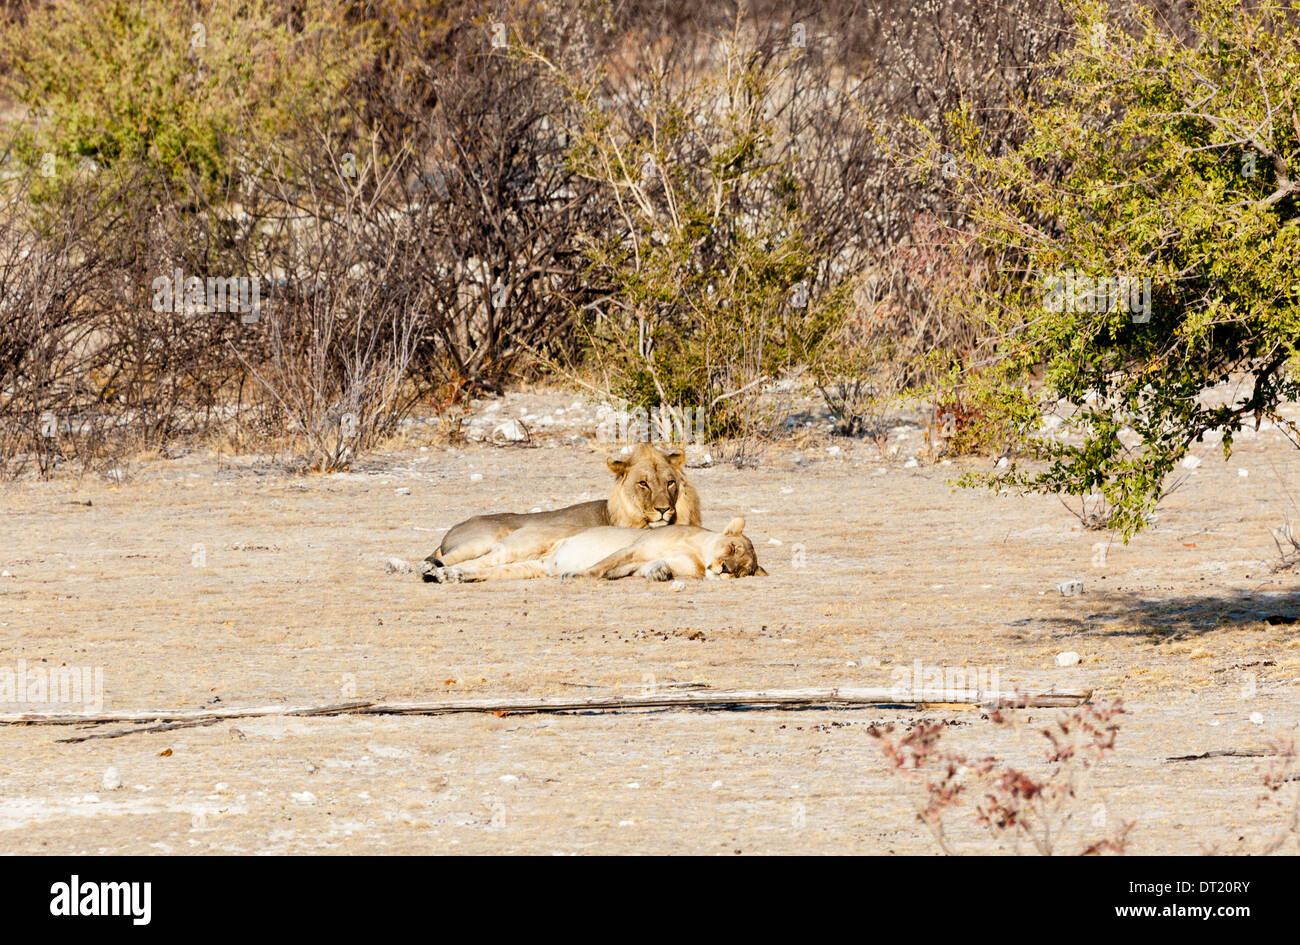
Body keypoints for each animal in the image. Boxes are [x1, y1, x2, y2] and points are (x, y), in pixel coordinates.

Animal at [421, 444, 696, 584]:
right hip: (486, 541)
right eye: (643, 484)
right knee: (445, 561)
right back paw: (434, 570)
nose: (663, 509)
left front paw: (659, 570)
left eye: (670, 483)